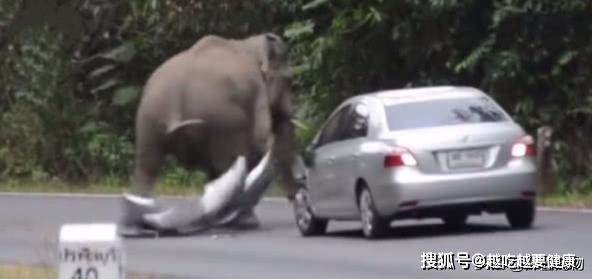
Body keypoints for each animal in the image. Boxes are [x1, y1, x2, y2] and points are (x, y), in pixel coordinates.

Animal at [119, 32, 296, 236]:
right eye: (289, 80)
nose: (294, 196)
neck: (248, 43)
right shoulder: (256, 92)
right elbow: (259, 141)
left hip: (149, 115)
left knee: (146, 166)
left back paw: (136, 228)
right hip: (220, 118)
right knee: (227, 163)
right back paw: (239, 222)